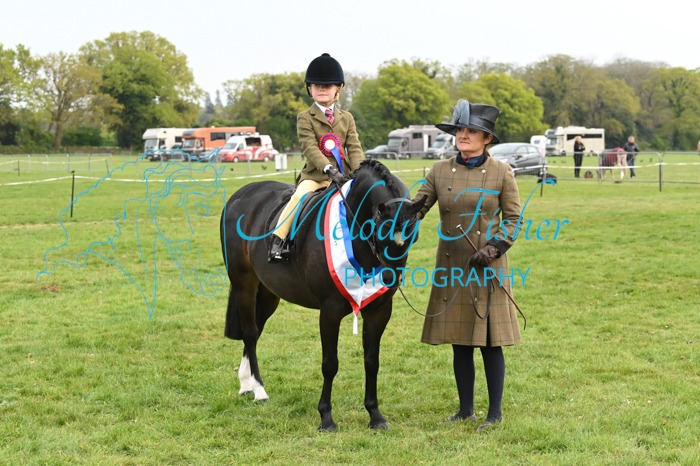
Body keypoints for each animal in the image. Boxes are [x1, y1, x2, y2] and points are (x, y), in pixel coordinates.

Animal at [219, 159, 426, 432]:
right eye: (380, 235)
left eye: (413, 236)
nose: (391, 279)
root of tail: (242, 194)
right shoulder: (329, 312)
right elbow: (330, 364)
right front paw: (326, 418)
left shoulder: (379, 311)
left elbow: (372, 361)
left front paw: (375, 415)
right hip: (244, 283)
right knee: (251, 333)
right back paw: (259, 390)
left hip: (269, 293)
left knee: (252, 331)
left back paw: (246, 384)